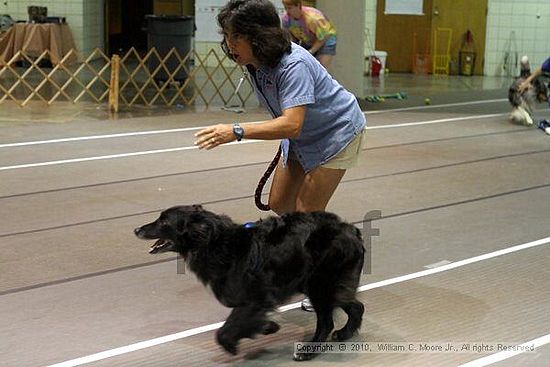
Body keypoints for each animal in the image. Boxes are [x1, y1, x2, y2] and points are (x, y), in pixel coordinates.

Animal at [134, 207, 366, 362]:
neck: (215, 244)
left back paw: (308, 351)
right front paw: (268, 326)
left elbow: (227, 329)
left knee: (326, 321)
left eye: (164, 222)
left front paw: (231, 344)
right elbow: (246, 322)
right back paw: (345, 333)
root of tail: (352, 231)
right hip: (327, 285)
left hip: (320, 285)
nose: (137, 229)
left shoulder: (257, 297)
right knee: (356, 306)